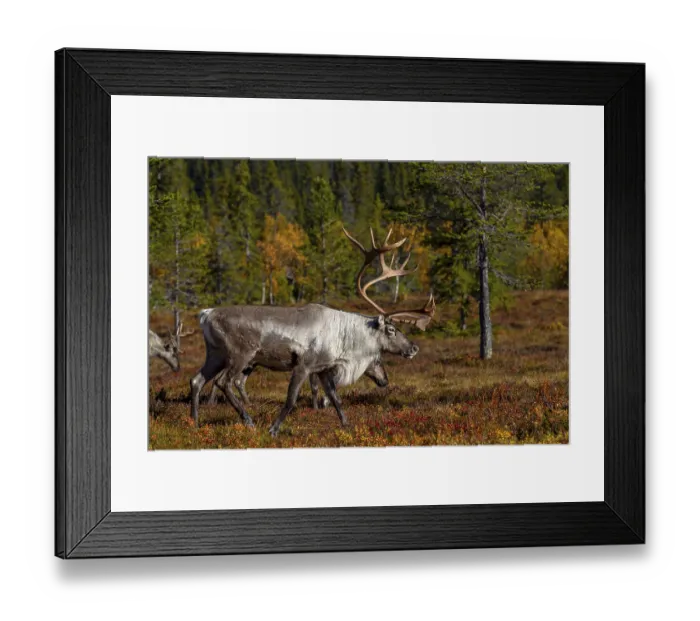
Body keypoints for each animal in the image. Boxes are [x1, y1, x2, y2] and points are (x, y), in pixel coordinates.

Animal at [190, 227, 436, 436]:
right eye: (392, 329)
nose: (414, 347)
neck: (344, 340)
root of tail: (206, 314)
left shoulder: (324, 369)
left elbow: (335, 398)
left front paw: (347, 425)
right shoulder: (304, 365)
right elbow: (291, 400)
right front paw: (273, 429)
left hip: (215, 354)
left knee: (196, 380)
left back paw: (194, 422)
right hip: (240, 355)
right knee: (223, 382)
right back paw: (248, 420)